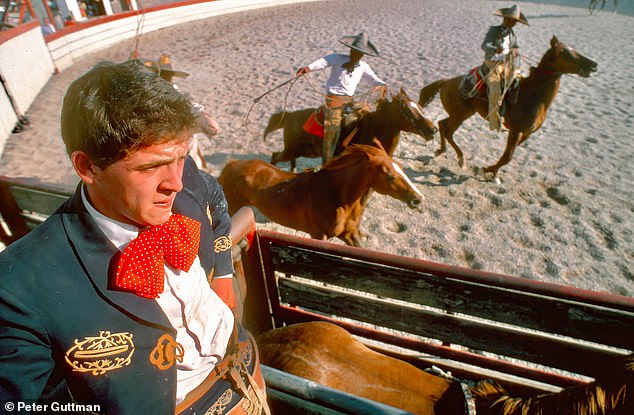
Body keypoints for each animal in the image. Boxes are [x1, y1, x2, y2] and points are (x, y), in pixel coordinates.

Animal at [216, 142, 420, 247]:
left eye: (401, 168)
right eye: (389, 175)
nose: (417, 199)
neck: (336, 196)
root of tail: (230, 166)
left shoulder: (349, 233)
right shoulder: (319, 235)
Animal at [262, 88, 434, 172]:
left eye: (419, 107)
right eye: (407, 111)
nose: (432, 130)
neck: (374, 130)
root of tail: (290, 115)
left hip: (301, 150)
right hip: (291, 149)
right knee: (275, 155)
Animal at [418, 36, 596, 179]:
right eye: (564, 53)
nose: (593, 65)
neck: (532, 96)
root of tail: (446, 82)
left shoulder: (526, 134)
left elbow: (507, 156)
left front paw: (494, 174)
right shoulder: (516, 131)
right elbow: (507, 157)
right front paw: (486, 170)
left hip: (464, 113)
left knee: (442, 124)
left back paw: (441, 151)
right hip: (459, 114)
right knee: (448, 130)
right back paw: (461, 159)